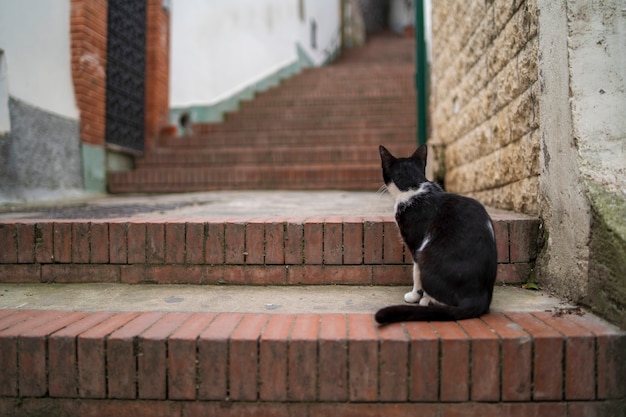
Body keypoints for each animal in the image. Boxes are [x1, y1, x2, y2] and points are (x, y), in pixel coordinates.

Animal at [372, 145, 494, 324]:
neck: (413, 185)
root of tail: (478, 299)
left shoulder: (417, 244)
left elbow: (415, 272)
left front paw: (414, 296)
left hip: (426, 253)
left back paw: (427, 301)